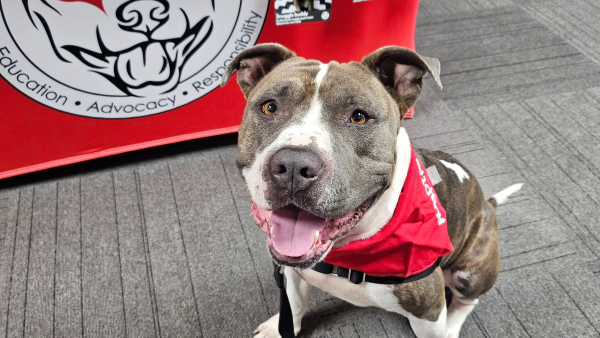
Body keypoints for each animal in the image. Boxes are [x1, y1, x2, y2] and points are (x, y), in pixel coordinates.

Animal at [220, 43, 520, 336]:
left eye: (359, 117)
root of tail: (487, 203)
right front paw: (278, 329)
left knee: (468, 300)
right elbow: (294, 304)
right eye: (270, 107)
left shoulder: (429, 312)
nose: (293, 165)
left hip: (471, 271)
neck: (345, 255)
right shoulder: (290, 270)